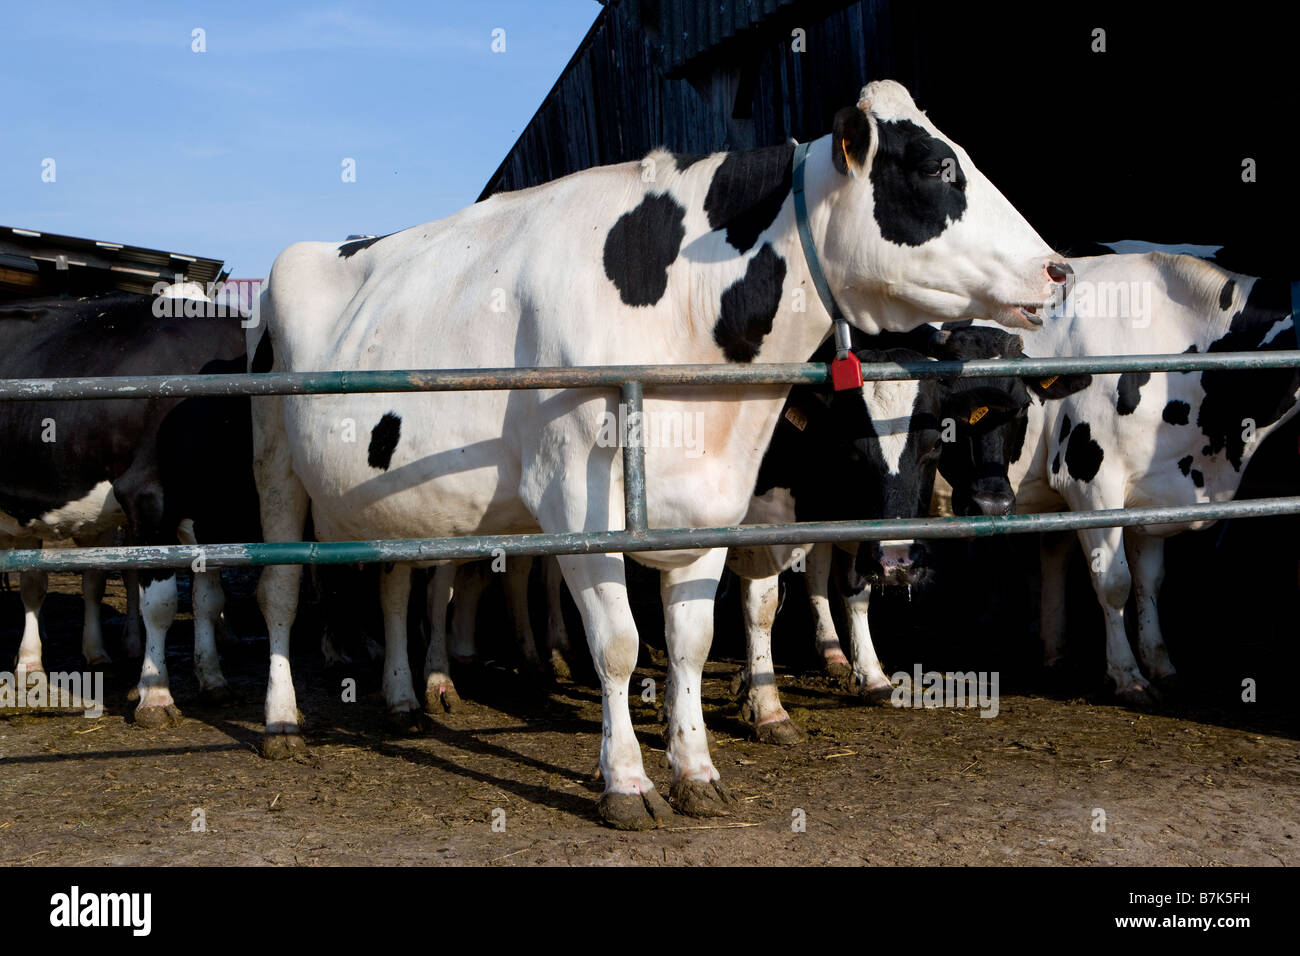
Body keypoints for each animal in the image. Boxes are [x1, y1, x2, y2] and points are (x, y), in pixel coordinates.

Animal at [0, 291, 263, 723]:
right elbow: (160, 603)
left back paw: (49, 662)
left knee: (43, 582)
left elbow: (209, 601)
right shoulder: (148, 499)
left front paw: (213, 681)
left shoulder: (210, 514)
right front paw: (156, 696)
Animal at [733, 325, 1086, 743]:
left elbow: (855, 588)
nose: (992, 504)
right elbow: (761, 604)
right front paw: (765, 705)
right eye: (850, 447)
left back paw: (832, 651)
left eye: (934, 444)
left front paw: (870, 674)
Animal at [941, 254, 1294, 712]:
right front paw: (1127, 677)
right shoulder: (1090, 482)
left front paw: (1161, 666)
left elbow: (1150, 581)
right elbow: (1114, 582)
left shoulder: (1155, 490)